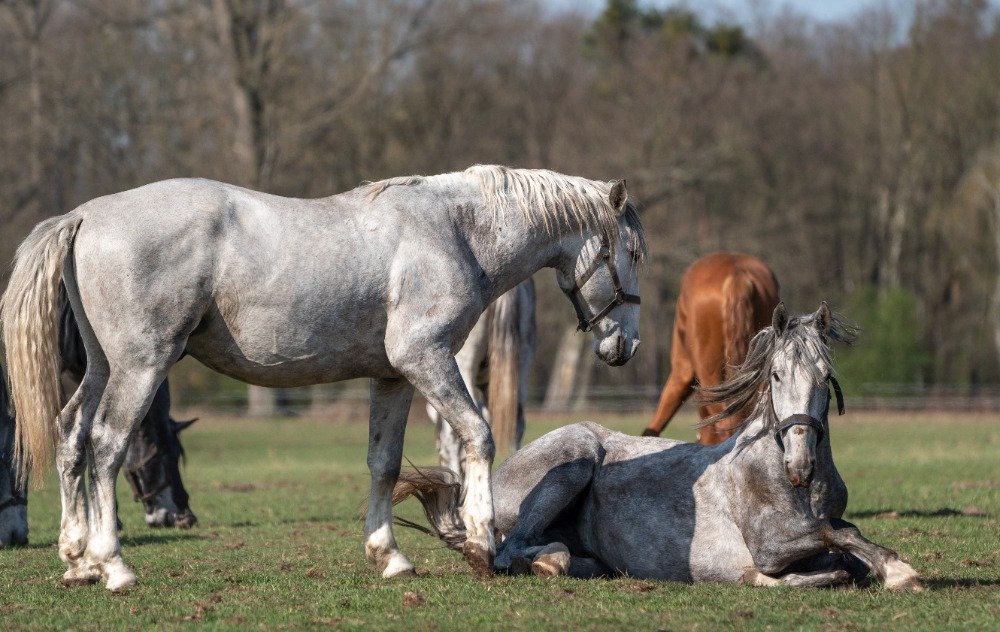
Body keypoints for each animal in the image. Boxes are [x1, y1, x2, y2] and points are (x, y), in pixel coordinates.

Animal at [394, 304, 924, 592]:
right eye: (776, 376)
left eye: (825, 376)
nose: (801, 464)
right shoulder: (769, 546)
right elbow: (836, 535)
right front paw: (901, 570)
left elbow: (844, 543)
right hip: (571, 463)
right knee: (509, 552)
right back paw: (546, 561)